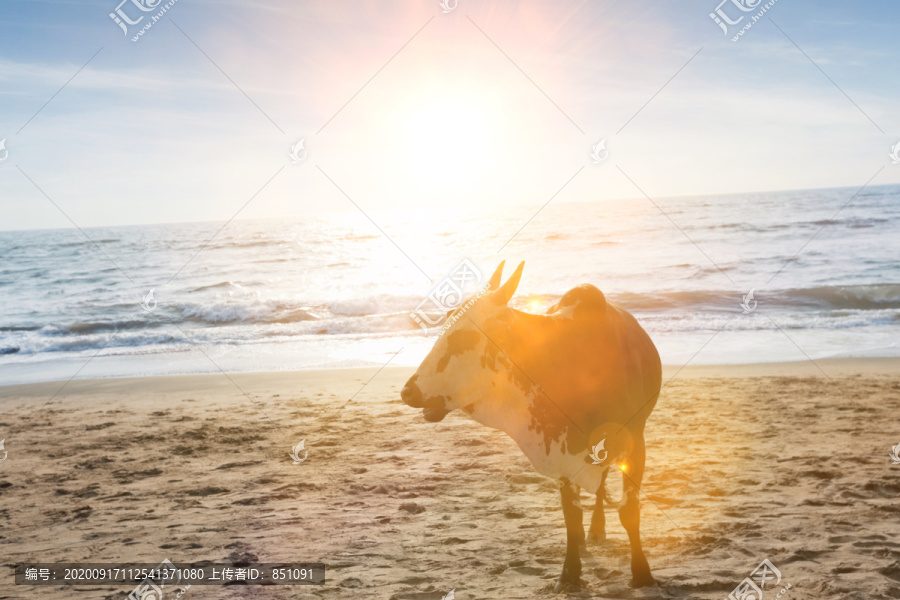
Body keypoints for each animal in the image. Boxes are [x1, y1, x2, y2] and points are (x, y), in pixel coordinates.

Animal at [400, 262, 660, 592]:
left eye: (465, 338)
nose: (408, 391)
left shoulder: (635, 444)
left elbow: (629, 512)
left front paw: (641, 573)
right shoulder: (562, 454)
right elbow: (571, 516)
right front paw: (570, 575)